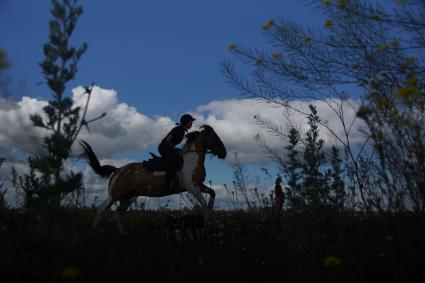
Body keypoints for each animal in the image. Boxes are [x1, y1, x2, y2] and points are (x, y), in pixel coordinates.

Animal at [79, 125, 225, 234]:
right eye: (214, 137)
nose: (224, 153)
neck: (191, 160)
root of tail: (117, 169)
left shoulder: (198, 185)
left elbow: (212, 194)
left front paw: (210, 211)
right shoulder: (191, 186)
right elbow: (204, 205)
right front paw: (205, 224)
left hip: (128, 197)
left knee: (117, 213)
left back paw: (123, 233)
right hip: (115, 195)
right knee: (101, 210)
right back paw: (92, 232)